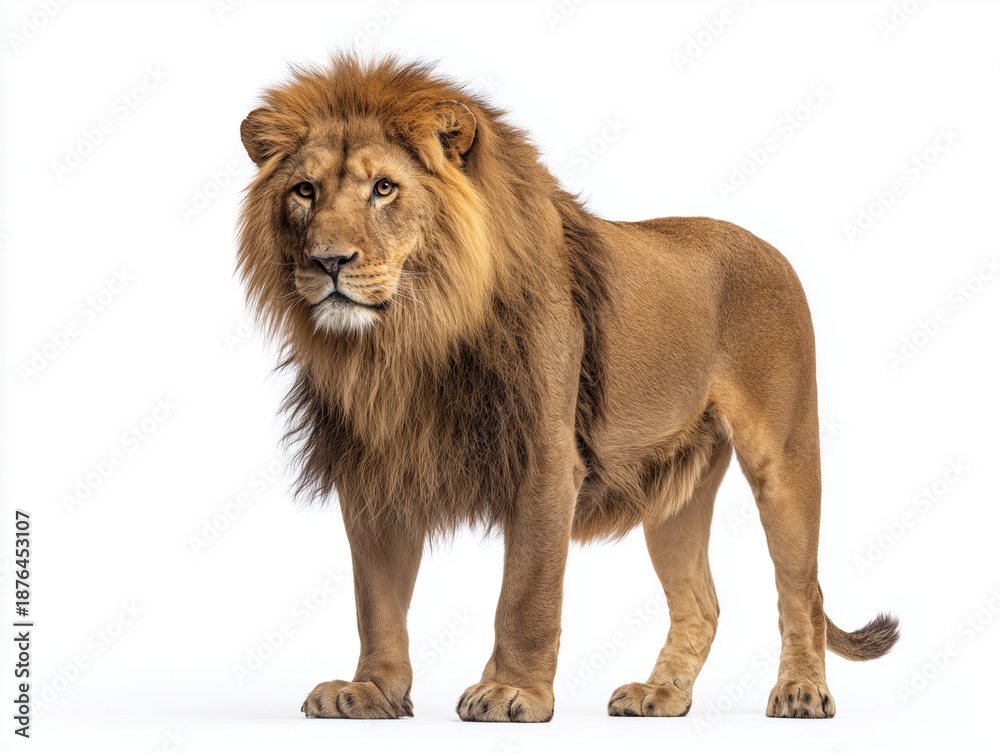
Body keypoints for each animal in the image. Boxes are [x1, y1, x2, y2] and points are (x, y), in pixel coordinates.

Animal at [236, 55, 899, 722]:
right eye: (304, 191)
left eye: (383, 188)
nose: (328, 261)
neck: (408, 339)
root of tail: (767, 247)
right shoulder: (375, 469)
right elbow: (376, 601)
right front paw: (372, 690)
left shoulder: (547, 458)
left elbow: (526, 592)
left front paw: (512, 691)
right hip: (675, 495)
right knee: (702, 604)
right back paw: (660, 695)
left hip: (784, 457)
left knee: (802, 591)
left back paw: (801, 691)